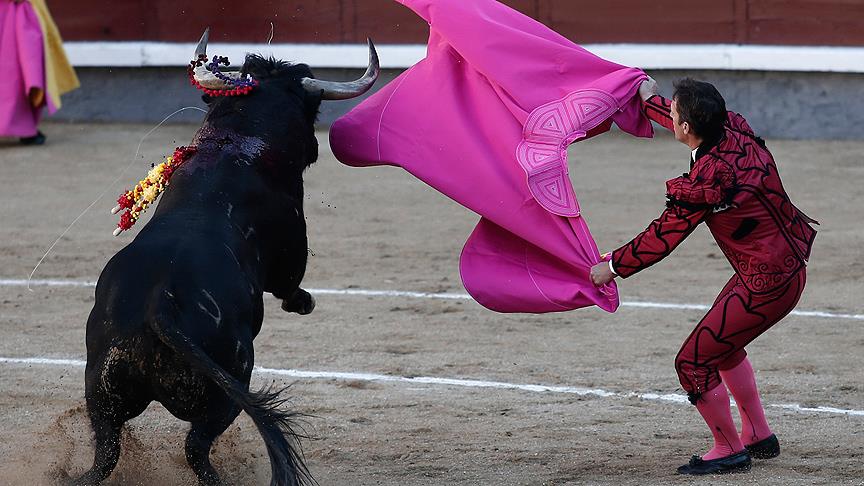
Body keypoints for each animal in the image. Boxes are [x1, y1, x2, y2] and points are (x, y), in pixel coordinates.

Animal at [76, 35, 380, 486]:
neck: (233, 146)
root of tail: (157, 310)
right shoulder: (291, 251)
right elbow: (289, 286)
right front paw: (304, 302)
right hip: (230, 383)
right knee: (196, 448)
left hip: (102, 393)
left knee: (107, 453)